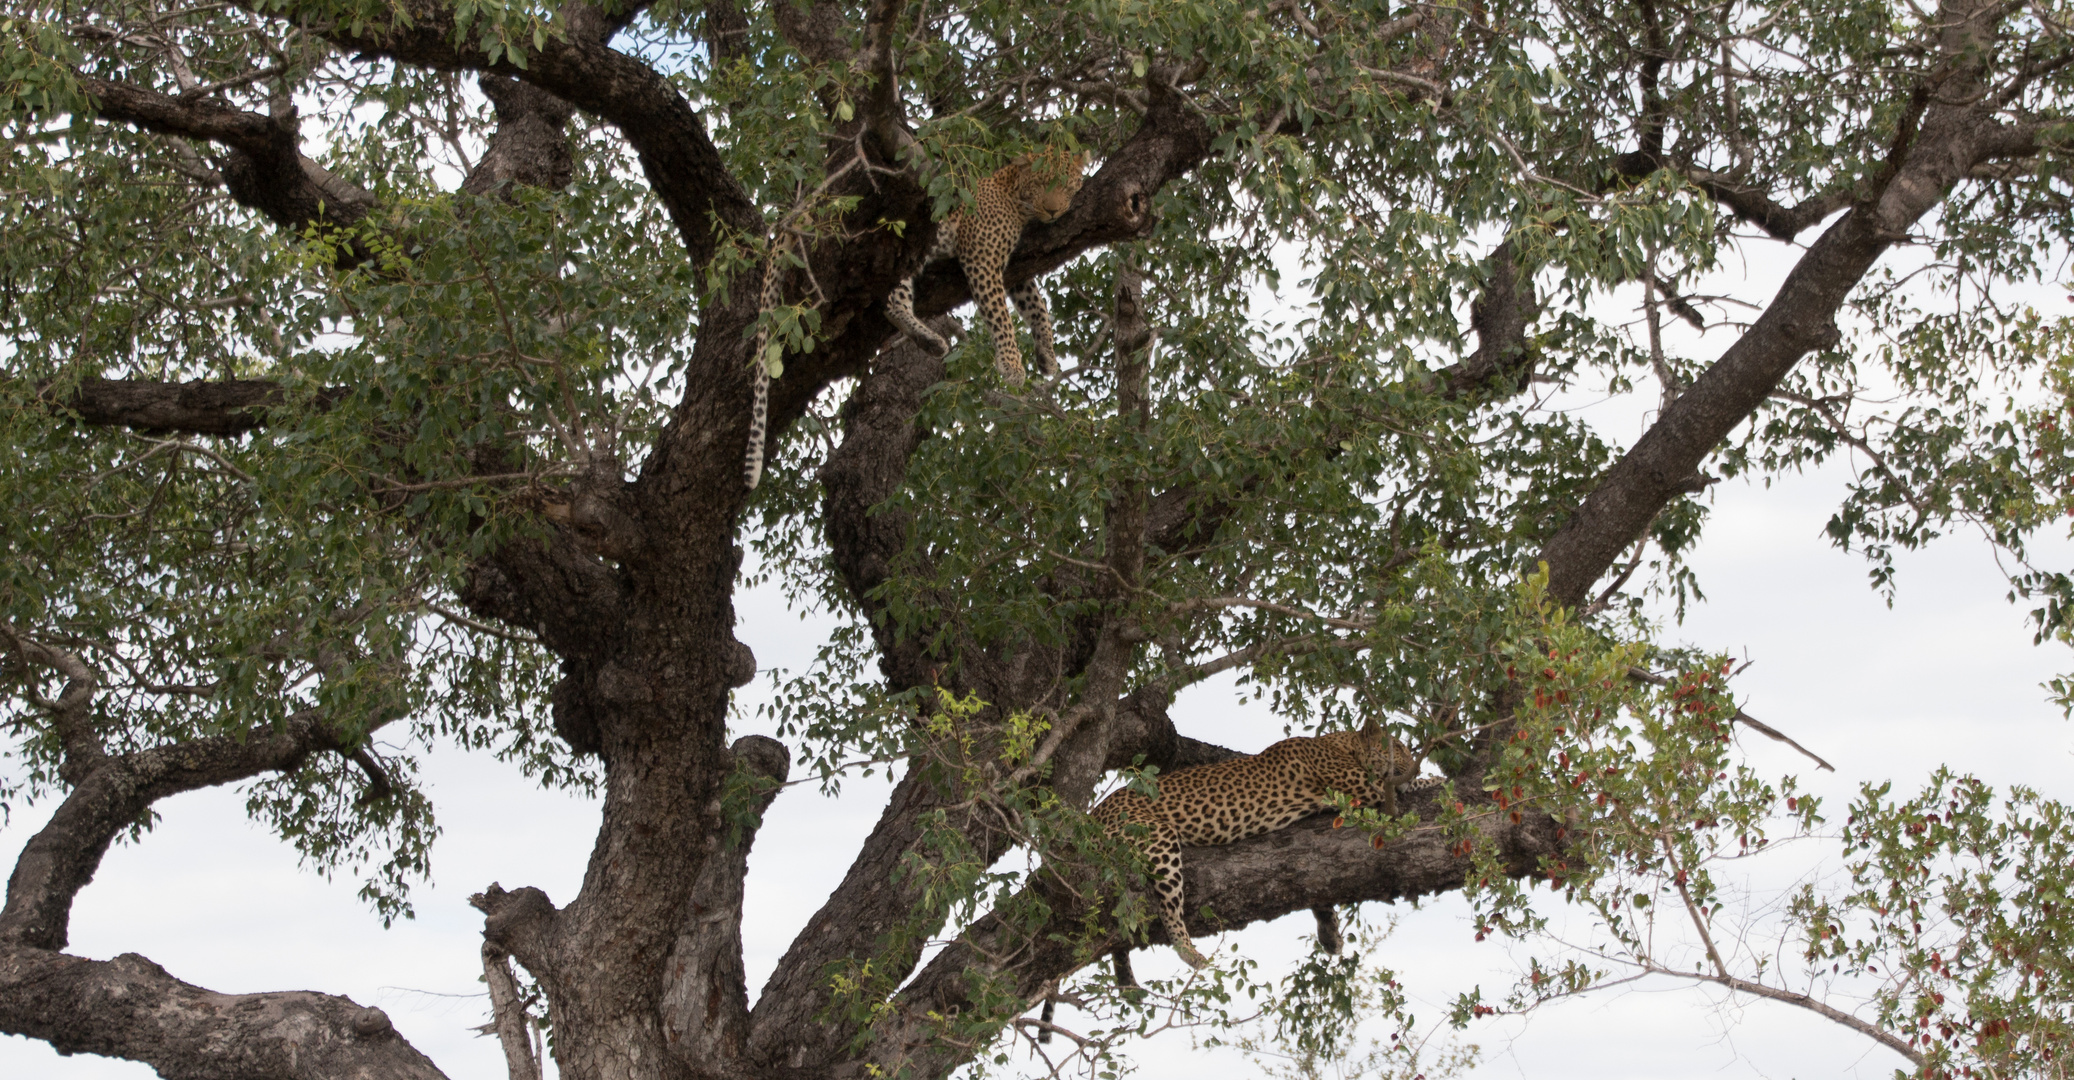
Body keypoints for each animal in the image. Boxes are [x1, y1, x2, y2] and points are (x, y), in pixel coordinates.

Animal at [883, 147, 1095, 383]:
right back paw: (930, 339)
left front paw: (1047, 354)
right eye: (1041, 184)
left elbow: (1036, 305)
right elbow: (1000, 314)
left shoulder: (1015, 268)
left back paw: (929, 342)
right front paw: (1011, 364)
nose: (1052, 211)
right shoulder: (983, 259)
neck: (1015, 198)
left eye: (1066, 187)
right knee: (891, 303)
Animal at [1086, 721, 1443, 965]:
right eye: (1398, 747)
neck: (1343, 745)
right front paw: (1436, 780)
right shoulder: (1362, 791)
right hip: (1156, 837)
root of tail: (1093, 814)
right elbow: (1403, 789)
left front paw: (1330, 934)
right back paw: (1191, 954)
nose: (1416, 764)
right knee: (1169, 908)